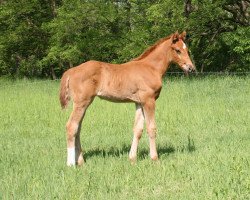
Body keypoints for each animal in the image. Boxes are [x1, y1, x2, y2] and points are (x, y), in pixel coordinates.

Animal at [59, 31, 194, 166]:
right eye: (177, 50)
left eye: (187, 49)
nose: (191, 68)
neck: (151, 68)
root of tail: (71, 70)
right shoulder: (149, 100)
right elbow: (151, 128)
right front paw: (154, 158)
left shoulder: (139, 102)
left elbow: (138, 129)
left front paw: (132, 159)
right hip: (81, 102)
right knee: (71, 126)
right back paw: (71, 164)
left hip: (83, 104)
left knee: (77, 128)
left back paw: (81, 161)